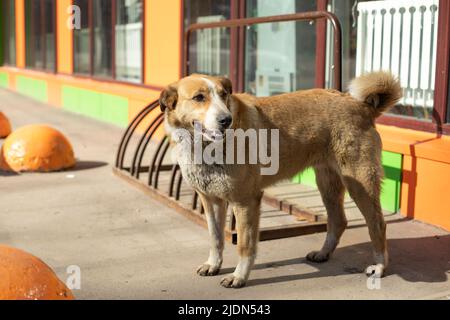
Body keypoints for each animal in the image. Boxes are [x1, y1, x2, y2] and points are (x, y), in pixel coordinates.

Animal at [160, 70, 402, 288]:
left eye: (223, 95)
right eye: (199, 97)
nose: (226, 120)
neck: (204, 147)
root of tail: (362, 106)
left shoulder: (245, 201)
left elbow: (245, 245)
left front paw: (239, 276)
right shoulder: (211, 200)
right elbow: (215, 237)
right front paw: (213, 264)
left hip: (360, 183)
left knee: (377, 224)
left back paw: (379, 266)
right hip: (327, 183)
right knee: (338, 220)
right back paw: (323, 253)